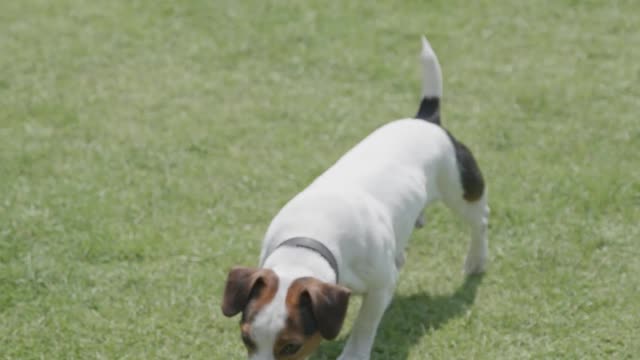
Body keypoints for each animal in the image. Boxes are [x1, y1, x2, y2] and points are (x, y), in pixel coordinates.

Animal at [221, 36, 490, 360]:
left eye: (291, 346)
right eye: (246, 338)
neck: (309, 240)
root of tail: (426, 120)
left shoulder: (379, 287)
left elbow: (365, 323)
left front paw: (354, 354)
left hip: (461, 188)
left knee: (479, 220)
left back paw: (476, 259)